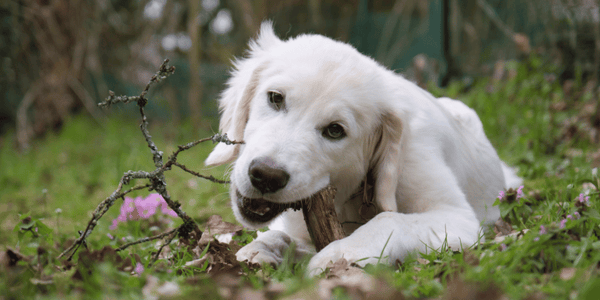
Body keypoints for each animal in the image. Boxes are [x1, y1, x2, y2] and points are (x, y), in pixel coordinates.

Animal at [206, 22, 520, 276]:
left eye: (335, 130)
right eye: (275, 98)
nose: (266, 176)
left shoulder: (457, 217)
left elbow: (389, 220)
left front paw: (337, 257)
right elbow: (279, 237)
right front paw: (261, 250)